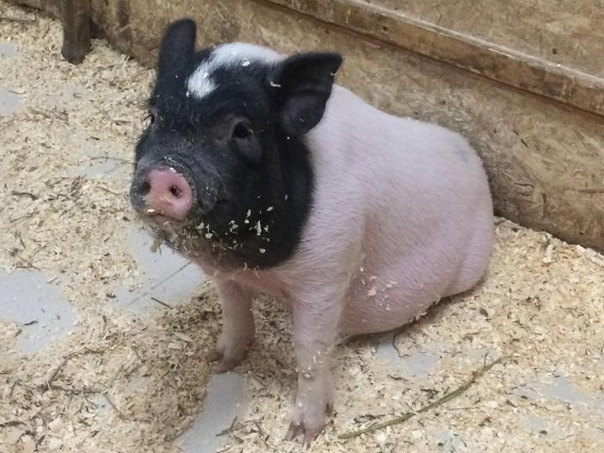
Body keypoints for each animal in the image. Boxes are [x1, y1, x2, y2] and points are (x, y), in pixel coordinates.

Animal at [129, 18, 494, 443]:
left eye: (242, 129)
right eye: (154, 117)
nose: (164, 172)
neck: (256, 265)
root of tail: (475, 162)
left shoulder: (328, 270)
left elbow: (310, 350)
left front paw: (301, 434)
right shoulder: (227, 274)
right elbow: (234, 312)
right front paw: (218, 361)